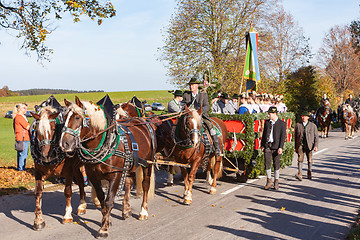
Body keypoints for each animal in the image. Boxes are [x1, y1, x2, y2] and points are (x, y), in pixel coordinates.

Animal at [59, 96, 155, 238]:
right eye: (64, 117)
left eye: (77, 117)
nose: (64, 143)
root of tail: (141, 121)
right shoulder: (93, 176)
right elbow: (102, 199)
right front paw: (106, 221)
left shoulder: (115, 175)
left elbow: (109, 200)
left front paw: (103, 229)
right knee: (128, 183)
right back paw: (126, 209)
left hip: (147, 164)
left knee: (145, 184)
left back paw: (143, 212)